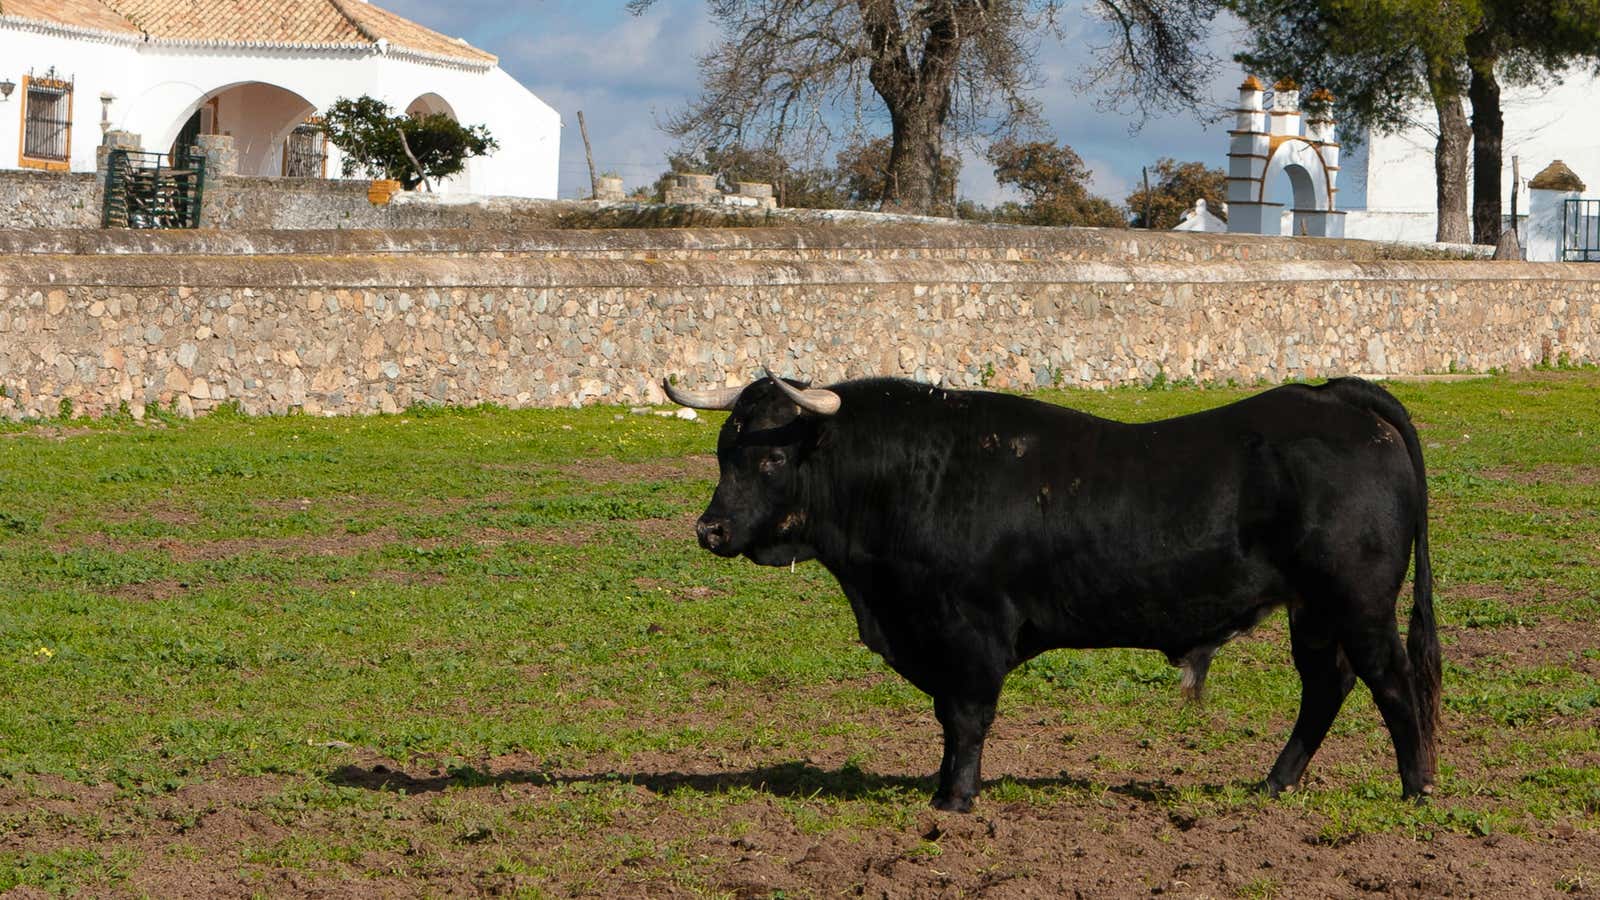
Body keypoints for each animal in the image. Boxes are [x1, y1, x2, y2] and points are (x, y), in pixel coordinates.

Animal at [662, 373, 1440, 813]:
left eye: (769, 455)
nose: (709, 529)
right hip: (1314, 611)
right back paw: (1275, 783)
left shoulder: (970, 631)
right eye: (723, 450)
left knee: (1392, 681)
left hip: (1360, 604)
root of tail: (1330, 396)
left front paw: (955, 798)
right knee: (1327, 686)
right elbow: (951, 718)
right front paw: (944, 787)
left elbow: (965, 716)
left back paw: (1417, 786)